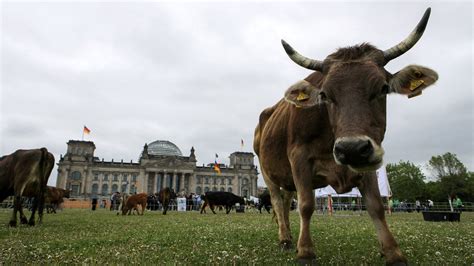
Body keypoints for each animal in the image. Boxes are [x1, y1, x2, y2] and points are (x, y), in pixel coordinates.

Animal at [254, 7, 438, 264]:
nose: (351, 148)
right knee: (278, 202)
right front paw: (306, 251)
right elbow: (306, 205)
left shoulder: (368, 158)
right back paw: (285, 239)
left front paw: (392, 251)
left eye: (383, 88)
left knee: (287, 199)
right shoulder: (299, 158)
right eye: (324, 94)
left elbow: (375, 205)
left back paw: (289, 236)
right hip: (267, 172)